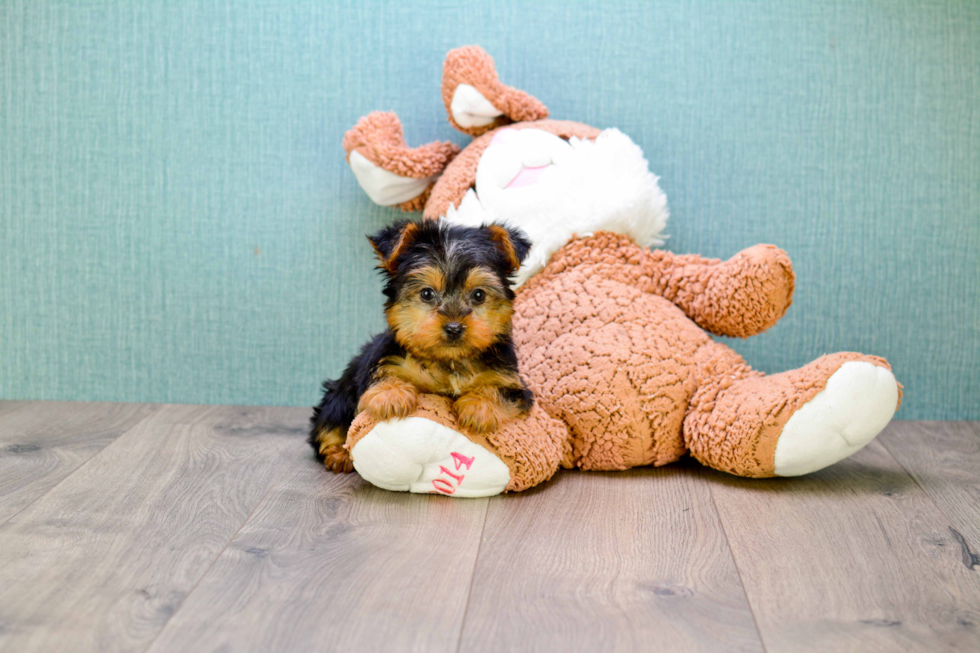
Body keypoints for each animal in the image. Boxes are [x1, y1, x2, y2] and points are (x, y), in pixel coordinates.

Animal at [310, 222, 532, 472]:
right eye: (427, 293)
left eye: (478, 294)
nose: (454, 327)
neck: (449, 361)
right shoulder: (386, 359)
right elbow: (383, 375)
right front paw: (391, 394)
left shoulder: (510, 380)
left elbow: (500, 390)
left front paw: (479, 406)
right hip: (337, 395)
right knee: (329, 423)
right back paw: (339, 454)